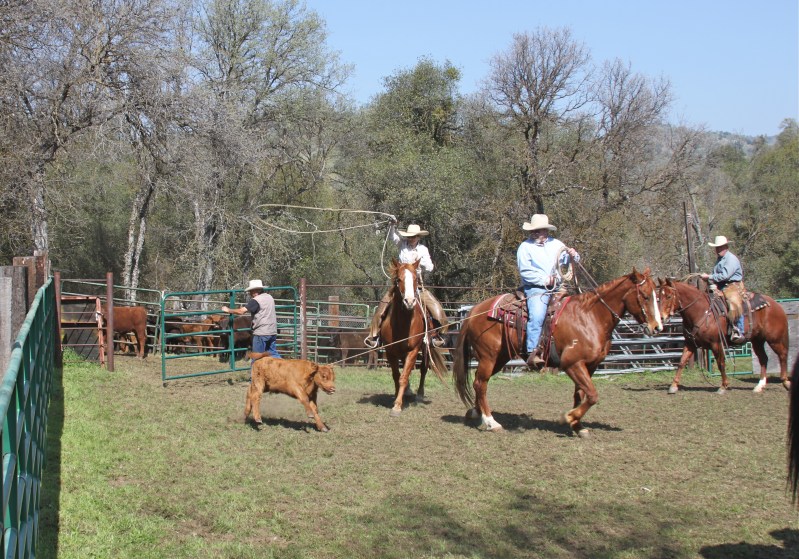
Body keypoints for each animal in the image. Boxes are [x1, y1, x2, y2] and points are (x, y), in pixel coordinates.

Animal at [380, 259, 448, 417]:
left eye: (416, 279)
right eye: (398, 279)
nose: (409, 301)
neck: (402, 324)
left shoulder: (413, 351)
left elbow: (404, 377)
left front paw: (397, 405)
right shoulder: (390, 352)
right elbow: (396, 375)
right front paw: (397, 397)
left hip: (426, 348)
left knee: (423, 368)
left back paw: (419, 395)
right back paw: (408, 392)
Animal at [453, 267, 663, 437]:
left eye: (657, 296)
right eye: (645, 296)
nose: (657, 327)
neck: (590, 317)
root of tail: (475, 311)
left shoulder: (590, 366)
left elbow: (580, 394)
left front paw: (578, 426)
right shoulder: (572, 364)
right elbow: (592, 395)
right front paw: (568, 417)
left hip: (500, 357)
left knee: (480, 382)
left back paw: (476, 413)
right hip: (489, 356)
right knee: (480, 383)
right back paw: (491, 422)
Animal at [656, 278, 790, 394]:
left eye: (669, 296)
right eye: (658, 298)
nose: (661, 318)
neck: (702, 311)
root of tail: (776, 305)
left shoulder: (716, 343)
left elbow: (721, 363)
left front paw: (723, 386)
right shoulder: (690, 343)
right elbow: (682, 362)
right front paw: (673, 386)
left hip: (775, 339)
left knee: (782, 355)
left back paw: (785, 382)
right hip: (757, 340)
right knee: (763, 358)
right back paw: (759, 386)